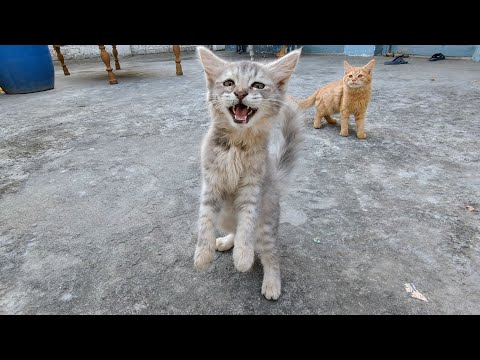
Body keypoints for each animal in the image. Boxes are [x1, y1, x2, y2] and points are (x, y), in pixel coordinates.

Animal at [192, 45, 302, 300]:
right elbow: (204, 222)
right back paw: (224, 242)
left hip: (266, 228)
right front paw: (203, 255)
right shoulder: (210, 185)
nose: (241, 93)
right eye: (229, 83)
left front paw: (243, 257)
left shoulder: (253, 188)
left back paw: (271, 282)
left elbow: (246, 224)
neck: (237, 144)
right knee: (233, 228)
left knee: (272, 255)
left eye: (258, 85)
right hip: (225, 215)